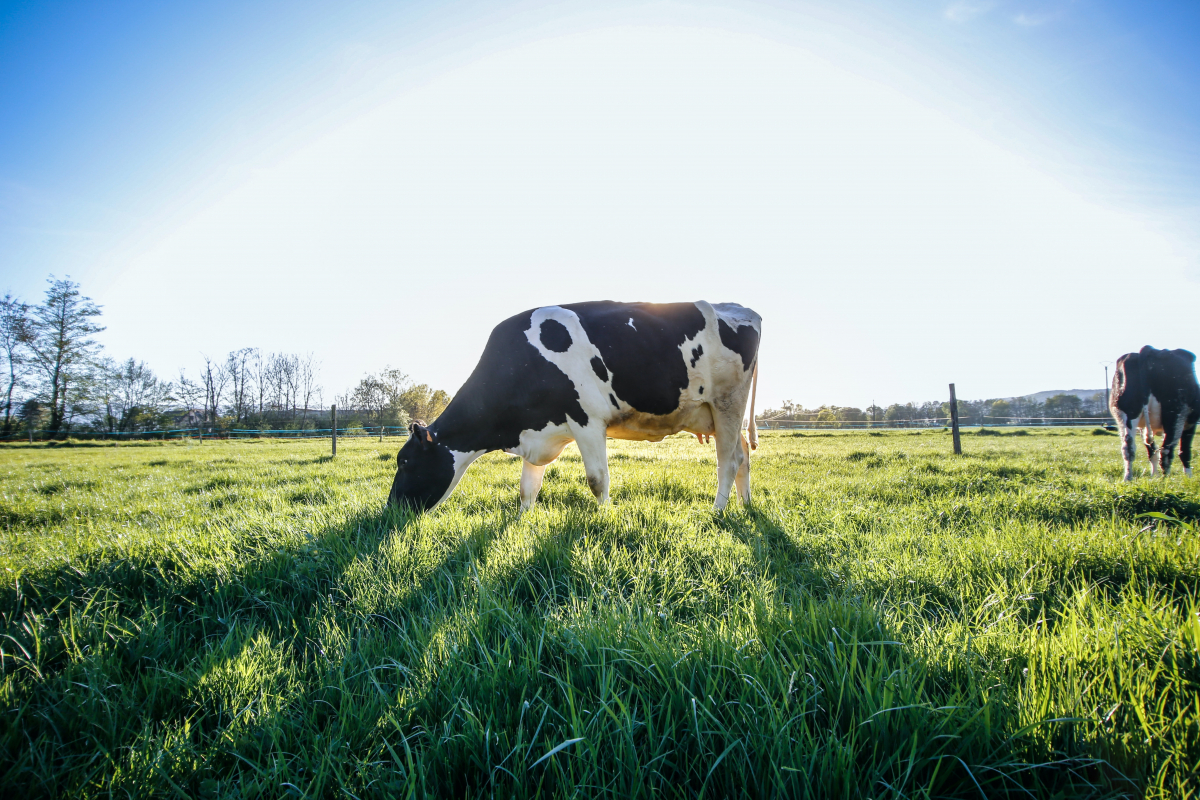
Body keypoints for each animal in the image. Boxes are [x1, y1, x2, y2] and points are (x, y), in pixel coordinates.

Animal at [388, 299, 763, 513]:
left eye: (404, 462)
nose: (391, 510)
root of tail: (742, 309)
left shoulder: (587, 420)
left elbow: (598, 480)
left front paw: (605, 518)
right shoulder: (538, 430)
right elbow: (527, 488)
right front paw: (522, 520)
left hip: (727, 403)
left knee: (727, 462)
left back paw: (717, 511)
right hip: (715, 413)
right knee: (743, 454)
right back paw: (745, 506)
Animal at [1108, 345, 1195, 482]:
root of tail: (1150, 350)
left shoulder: (1142, 427)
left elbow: (1151, 451)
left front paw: (1154, 475)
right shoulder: (1191, 421)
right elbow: (1184, 451)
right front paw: (1188, 477)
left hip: (1126, 413)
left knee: (1128, 447)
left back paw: (1128, 478)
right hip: (1174, 413)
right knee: (1166, 450)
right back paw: (1166, 479)